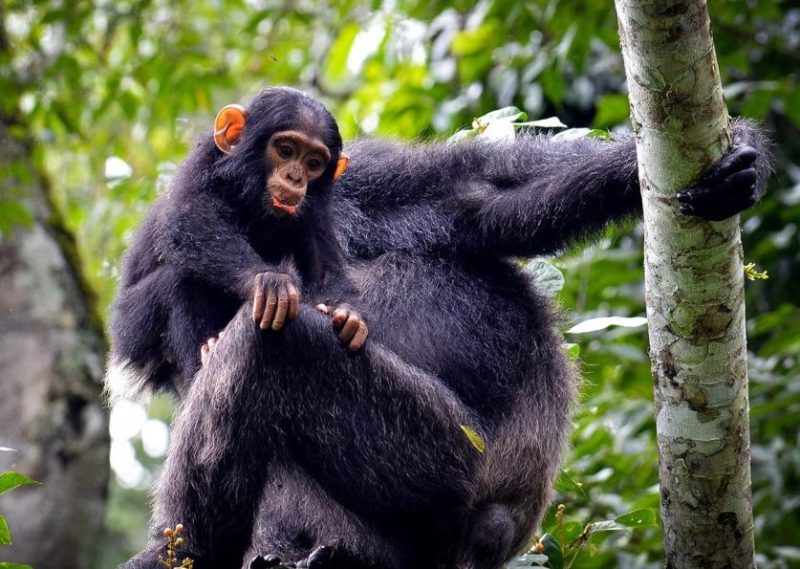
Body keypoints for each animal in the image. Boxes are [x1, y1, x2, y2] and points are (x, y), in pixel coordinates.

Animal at [109, 85, 772, 568]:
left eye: (312, 160)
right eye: (283, 150)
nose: (295, 179)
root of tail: (493, 534)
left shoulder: (362, 181)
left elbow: (479, 193)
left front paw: (738, 157)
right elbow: (167, 272)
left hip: (440, 465)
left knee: (272, 345)